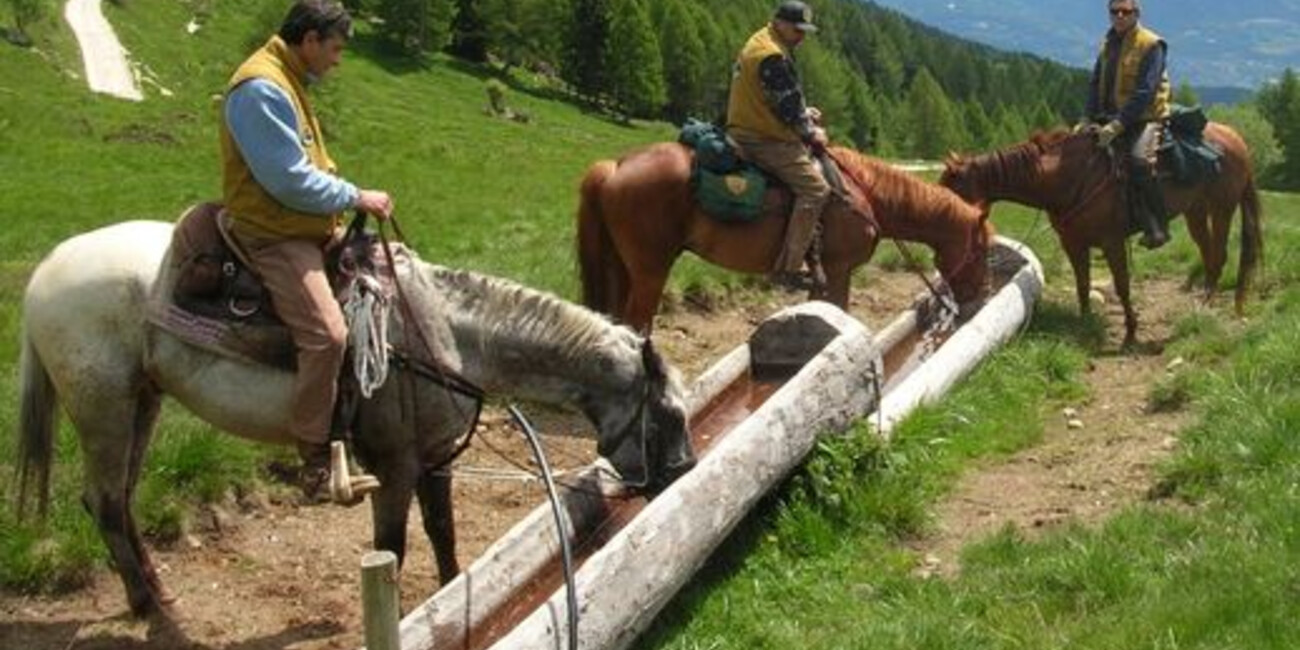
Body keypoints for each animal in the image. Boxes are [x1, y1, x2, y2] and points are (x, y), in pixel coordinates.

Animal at [16, 220, 696, 618]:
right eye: (667, 413)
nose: (686, 472)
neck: (443, 334)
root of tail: (45, 269)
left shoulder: (435, 460)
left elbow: (444, 535)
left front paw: (450, 595)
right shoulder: (393, 468)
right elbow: (392, 546)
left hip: (142, 402)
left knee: (116, 501)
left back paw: (154, 590)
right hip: (103, 408)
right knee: (107, 502)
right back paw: (149, 605)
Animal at [576, 143, 995, 332]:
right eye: (982, 251)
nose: (982, 298)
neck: (865, 195)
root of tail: (616, 167)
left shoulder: (824, 275)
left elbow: (819, 312)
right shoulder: (839, 270)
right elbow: (840, 310)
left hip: (620, 266)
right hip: (651, 269)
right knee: (637, 323)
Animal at [939, 125, 1263, 346]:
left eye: (951, 193)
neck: (1067, 177)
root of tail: (1237, 139)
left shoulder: (1112, 242)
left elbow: (1122, 286)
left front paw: (1131, 332)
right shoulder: (1073, 243)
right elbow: (1083, 283)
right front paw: (1085, 321)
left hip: (1222, 208)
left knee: (1218, 255)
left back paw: (1204, 308)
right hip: (1195, 211)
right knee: (1209, 255)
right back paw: (1201, 304)